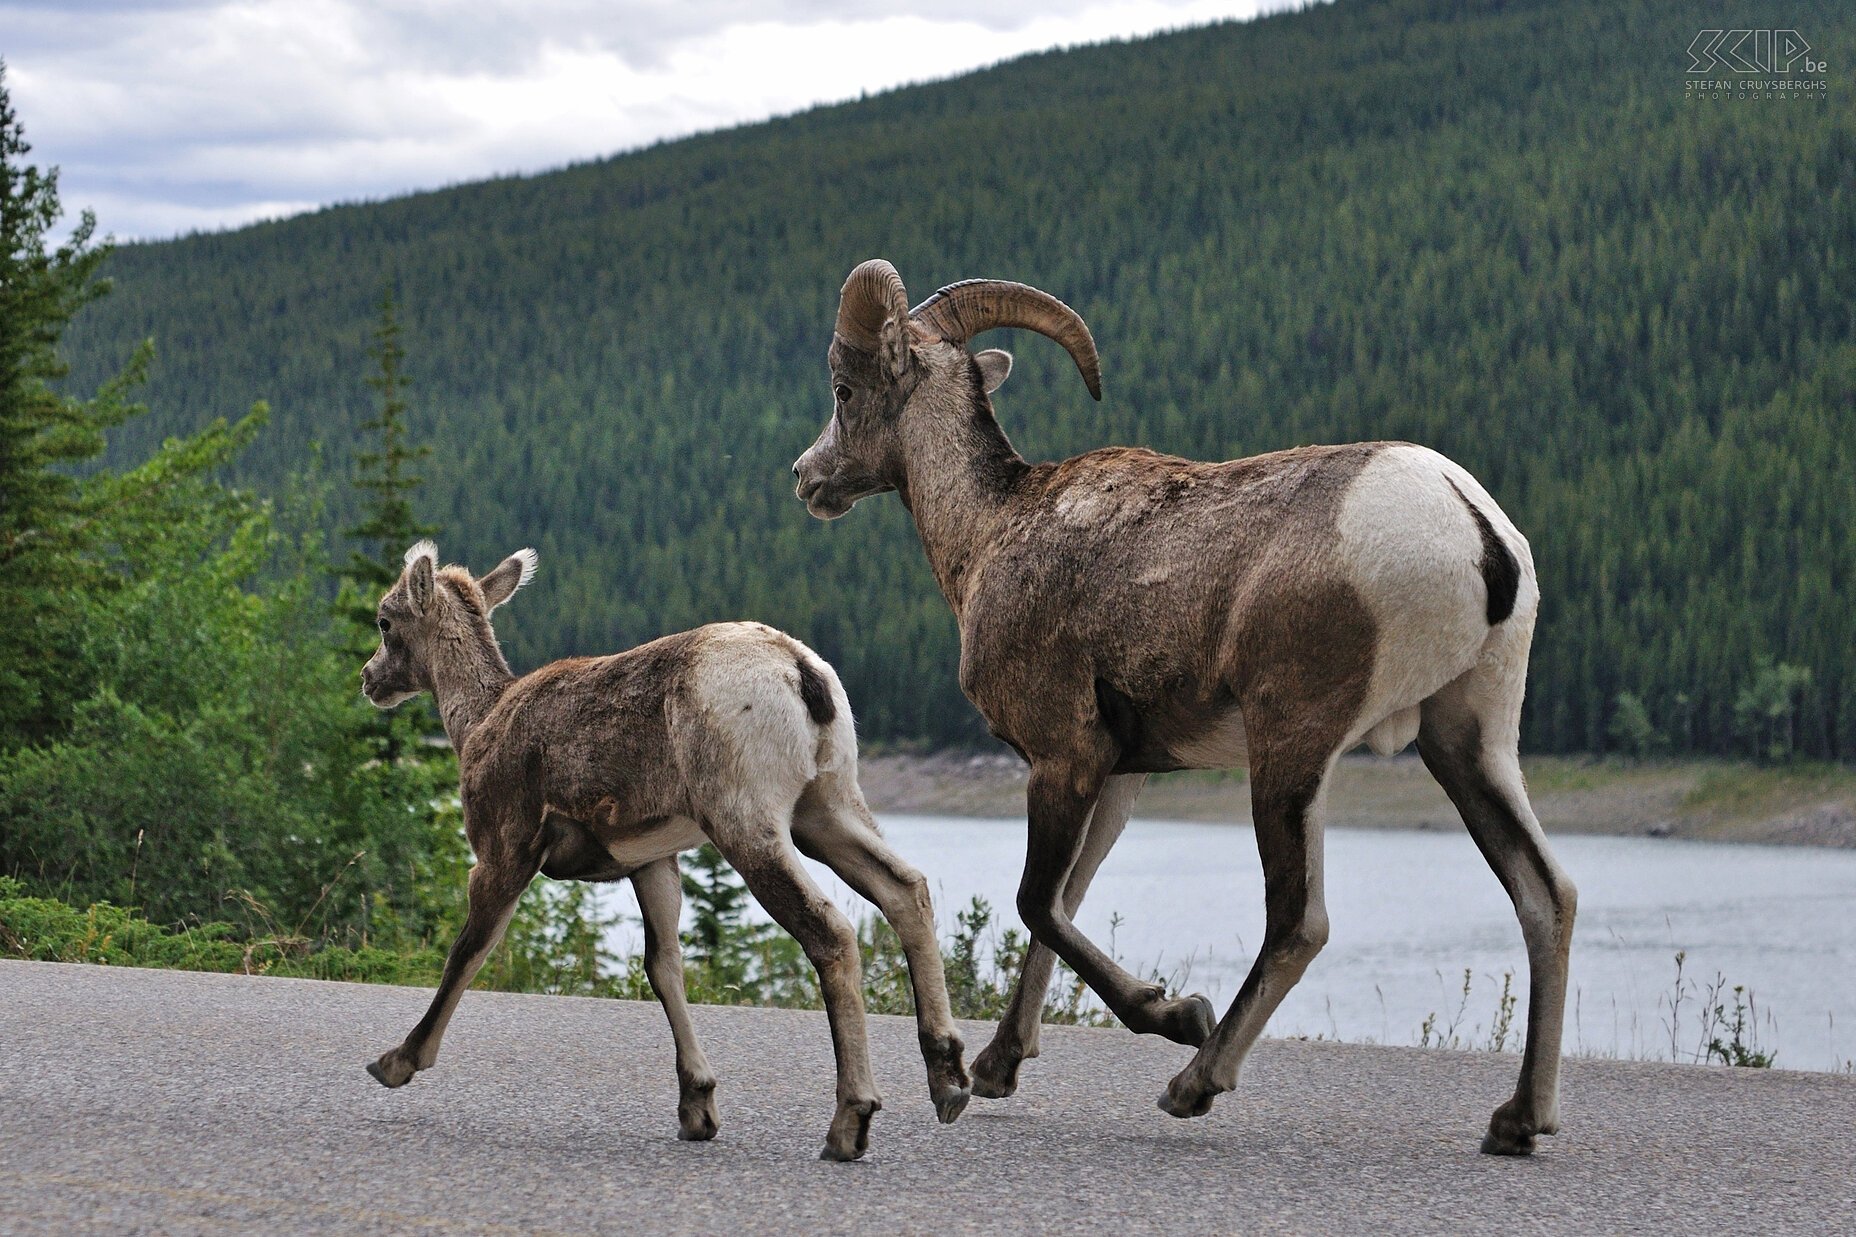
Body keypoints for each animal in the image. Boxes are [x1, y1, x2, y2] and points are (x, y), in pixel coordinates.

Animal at [358, 538, 972, 1158]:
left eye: (385, 620)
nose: (368, 678)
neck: (474, 724)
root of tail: (804, 676)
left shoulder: (502, 849)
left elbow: (468, 952)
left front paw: (396, 1061)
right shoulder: (653, 860)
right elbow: (664, 965)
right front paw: (697, 1107)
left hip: (746, 819)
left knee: (831, 931)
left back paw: (851, 1120)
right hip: (828, 804)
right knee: (906, 888)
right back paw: (949, 1080)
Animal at [790, 260, 1573, 1158]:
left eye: (845, 389)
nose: (807, 476)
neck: (990, 530)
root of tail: (1476, 530)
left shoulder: (1064, 756)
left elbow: (1036, 901)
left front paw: (1171, 1012)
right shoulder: (1120, 776)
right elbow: (1065, 902)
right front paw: (996, 1070)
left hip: (1291, 750)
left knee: (1300, 921)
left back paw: (1193, 1081)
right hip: (1469, 740)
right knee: (1546, 894)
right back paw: (1518, 1119)